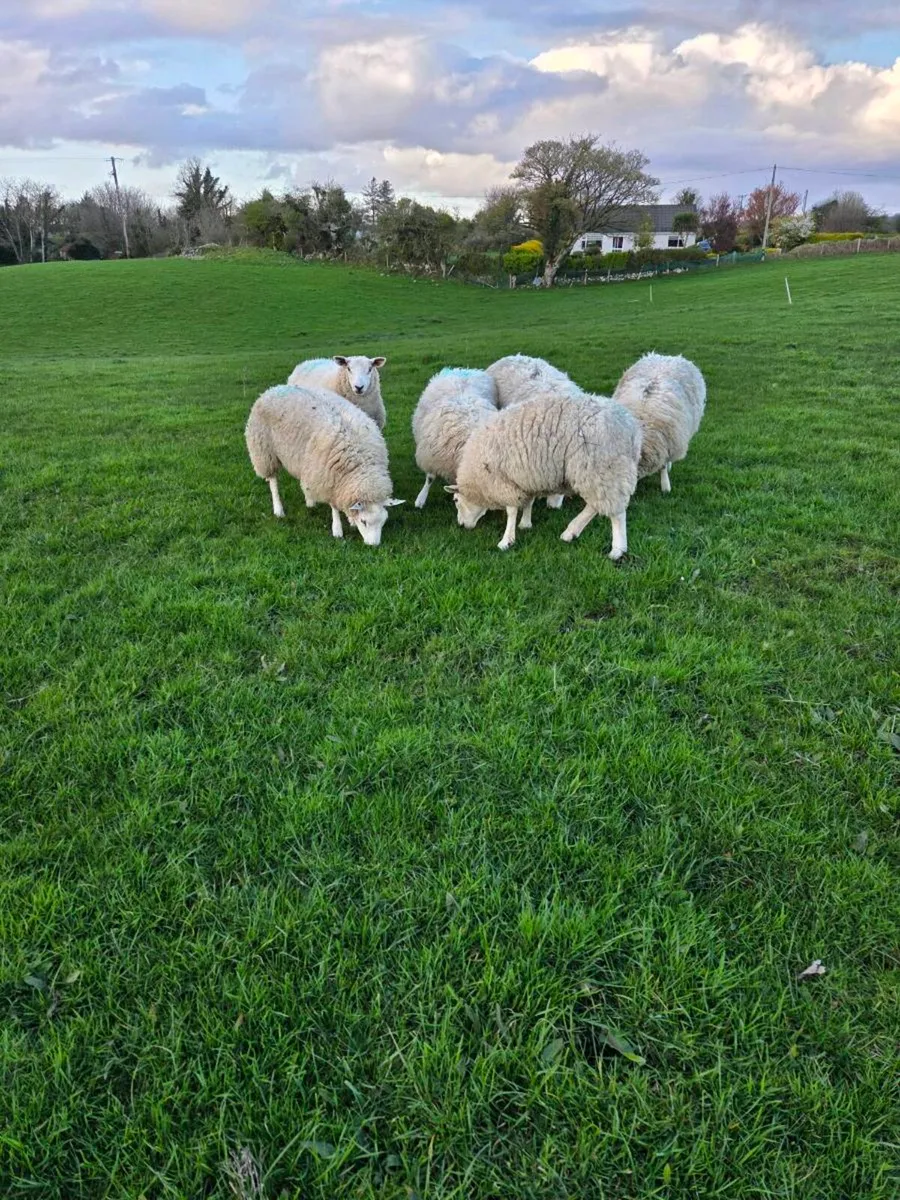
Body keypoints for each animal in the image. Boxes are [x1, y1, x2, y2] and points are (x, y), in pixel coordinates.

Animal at [245, 384, 403, 546]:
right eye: (364, 522)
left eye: (383, 521)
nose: (374, 545)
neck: (360, 463)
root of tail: (273, 388)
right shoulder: (329, 478)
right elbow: (334, 506)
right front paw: (337, 530)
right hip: (264, 451)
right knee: (273, 481)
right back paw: (278, 509)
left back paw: (309, 501)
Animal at [449, 391, 642, 558]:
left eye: (456, 500)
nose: (461, 525)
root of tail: (632, 428)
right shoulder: (527, 478)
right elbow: (529, 502)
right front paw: (525, 524)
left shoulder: (503, 480)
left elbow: (511, 511)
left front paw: (506, 540)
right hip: (601, 472)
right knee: (596, 505)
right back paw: (571, 532)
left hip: (603, 467)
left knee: (616, 512)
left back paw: (617, 550)